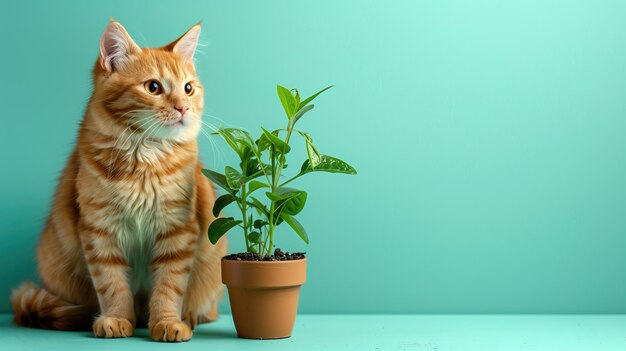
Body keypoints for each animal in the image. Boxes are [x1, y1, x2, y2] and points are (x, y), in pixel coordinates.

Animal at [9, 20, 225, 342]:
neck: (143, 160)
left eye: (188, 88)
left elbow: (169, 287)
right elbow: (112, 285)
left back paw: (189, 316)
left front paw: (168, 322)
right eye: (153, 87)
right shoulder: (100, 230)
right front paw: (116, 319)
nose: (183, 108)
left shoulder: (177, 229)